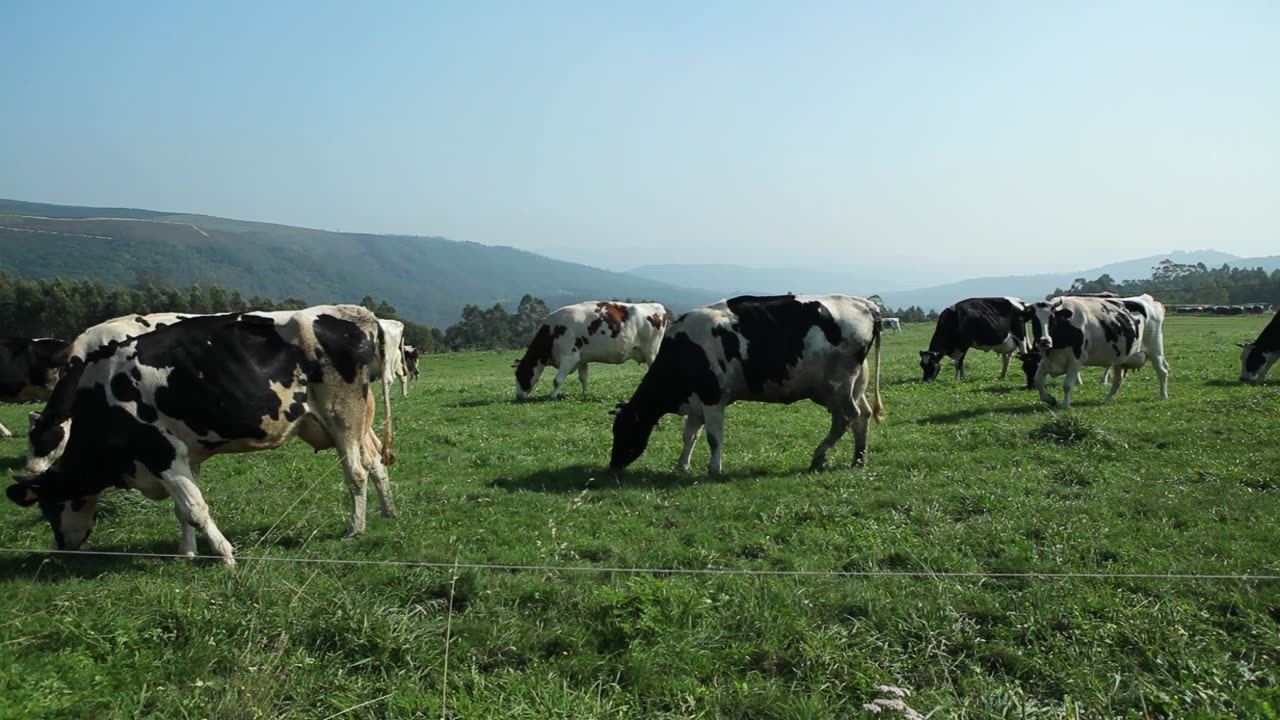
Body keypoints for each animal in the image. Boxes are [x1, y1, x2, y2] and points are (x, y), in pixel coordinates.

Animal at [6, 302, 394, 561]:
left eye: (49, 508)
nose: (59, 549)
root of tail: (355, 313)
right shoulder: (184, 455)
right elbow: (183, 508)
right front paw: (186, 554)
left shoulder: (158, 451)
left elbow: (194, 507)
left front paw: (224, 555)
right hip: (353, 421)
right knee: (374, 462)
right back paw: (388, 511)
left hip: (343, 416)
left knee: (356, 473)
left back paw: (355, 529)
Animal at [512, 297, 670, 397]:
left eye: (520, 374)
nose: (518, 396)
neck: (552, 331)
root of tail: (658, 306)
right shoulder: (582, 358)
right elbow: (583, 378)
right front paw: (585, 394)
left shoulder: (569, 356)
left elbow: (557, 380)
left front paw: (552, 396)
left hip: (651, 351)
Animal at [606, 293, 880, 476]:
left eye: (624, 431)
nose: (613, 465)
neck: (685, 350)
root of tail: (866, 305)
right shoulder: (696, 402)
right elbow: (689, 435)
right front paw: (681, 465)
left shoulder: (713, 397)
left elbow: (713, 437)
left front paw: (714, 469)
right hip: (855, 383)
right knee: (862, 416)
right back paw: (858, 459)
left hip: (837, 386)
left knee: (846, 416)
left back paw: (819, 456)